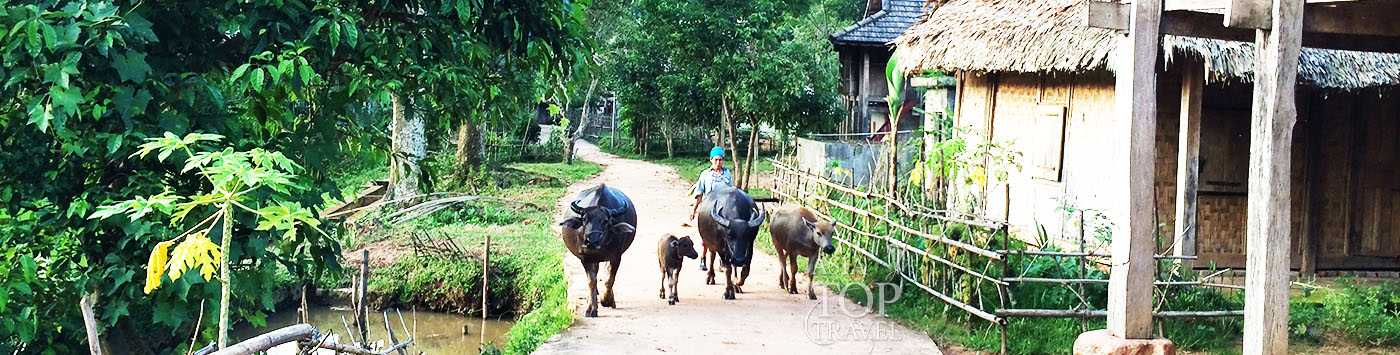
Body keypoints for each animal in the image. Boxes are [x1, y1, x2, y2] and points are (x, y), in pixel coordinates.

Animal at [562, 184, 641, 317]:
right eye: (584, 219)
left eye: (606, 221)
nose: (591, 242)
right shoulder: (585, 258)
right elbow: (591, 282)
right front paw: (591, 308)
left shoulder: (616, 257)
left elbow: (609, 279)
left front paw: (606, 300)